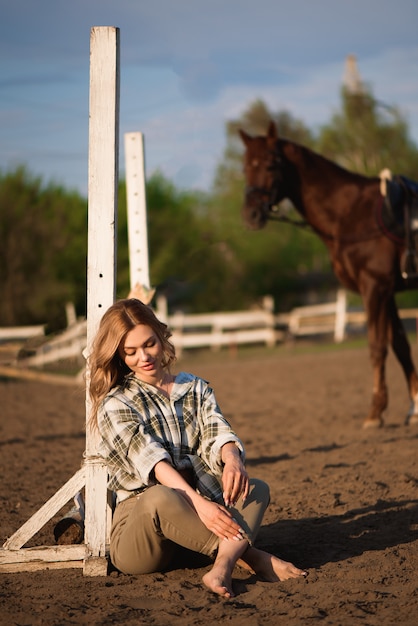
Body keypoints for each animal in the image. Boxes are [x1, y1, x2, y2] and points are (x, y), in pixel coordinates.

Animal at [240, 119, 418, 426]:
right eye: (245, 166)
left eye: (271, 164)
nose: (251, 215)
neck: (352, 213)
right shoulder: (388, 292)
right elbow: (401, 346)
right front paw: (414, 407)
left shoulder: (375, 288)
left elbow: (377, 348)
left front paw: (375, 412)